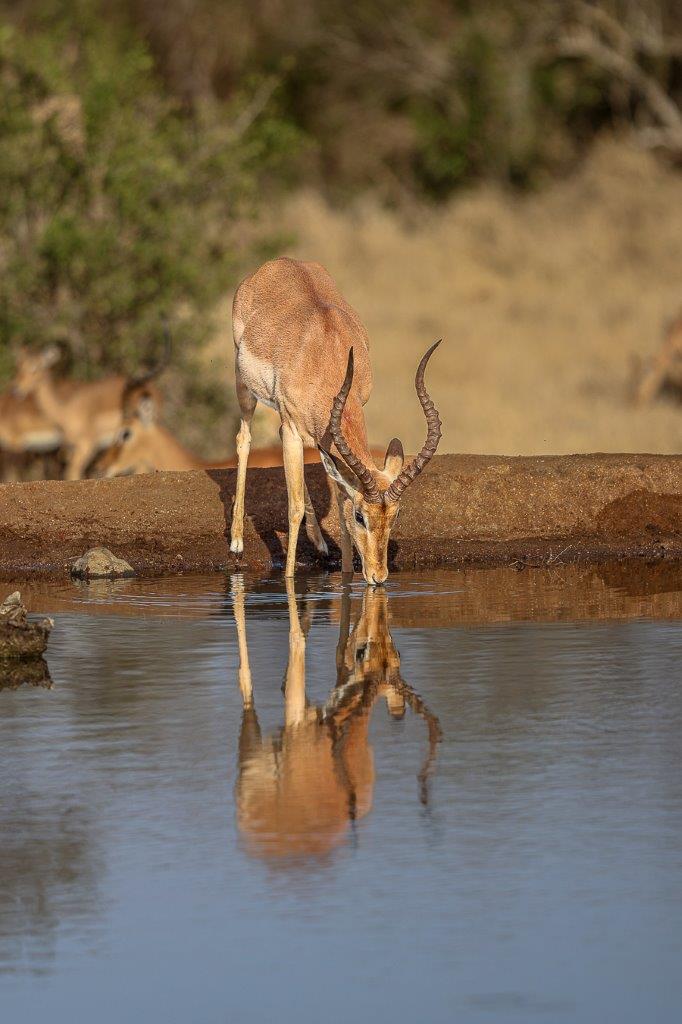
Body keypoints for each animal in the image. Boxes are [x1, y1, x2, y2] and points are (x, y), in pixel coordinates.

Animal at [13, 339, 168, 480]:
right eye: (20, 367)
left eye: (35, 368)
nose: (17, 389)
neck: (64, 411)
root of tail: (155, 390)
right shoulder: (73, 448)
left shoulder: (87, 446)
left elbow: (72, 473)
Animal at [230, 257, 443, 584]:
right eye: (361, 516)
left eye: (395, 516)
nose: (379, 577)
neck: (326, 352)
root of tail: (277, 263)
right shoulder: (293, 429)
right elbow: (294, 508)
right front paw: (289, 579)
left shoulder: (328, 436)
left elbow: (339, 501)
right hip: (244, 385)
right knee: (244, 439)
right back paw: (237, 541)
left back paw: (319, 544)